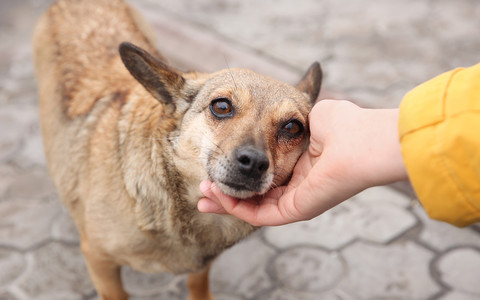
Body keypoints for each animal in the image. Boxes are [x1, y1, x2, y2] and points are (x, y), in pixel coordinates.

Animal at [31, 0, 320, 300]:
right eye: (221, 106)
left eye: (293, 127)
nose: (252, 162)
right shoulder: (99, 261)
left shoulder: (202, 265)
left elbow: (197, 283)